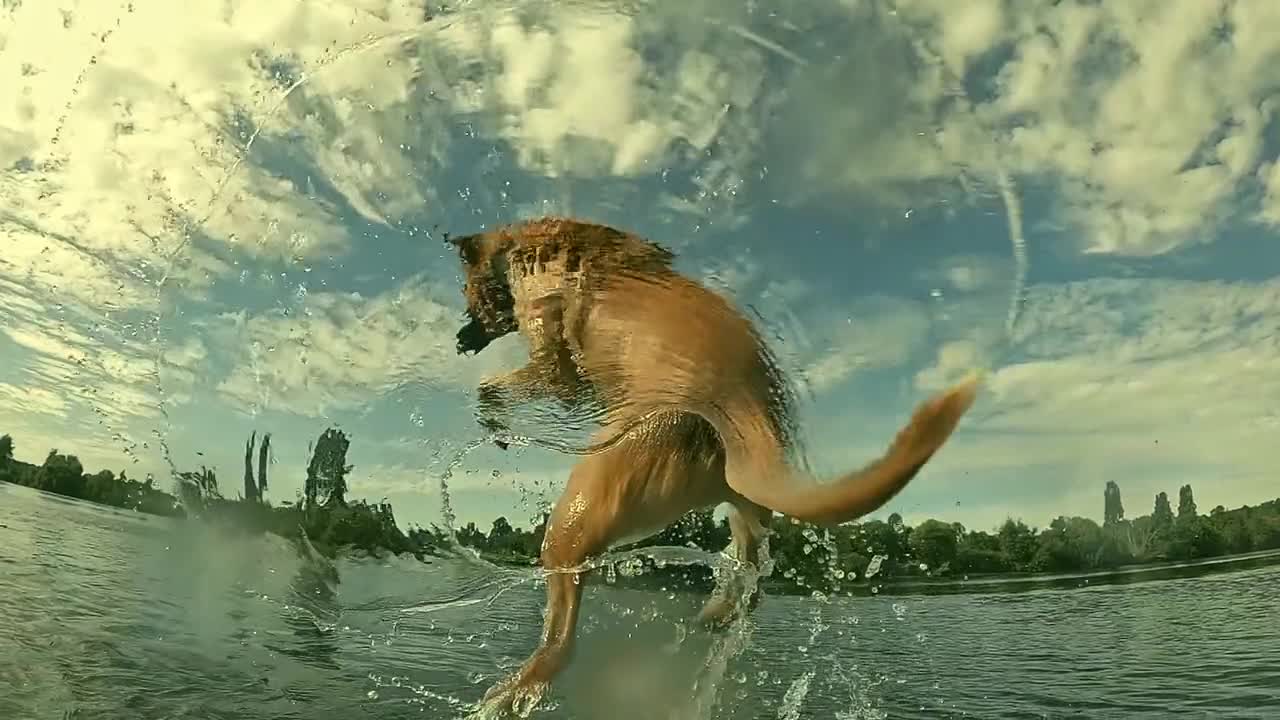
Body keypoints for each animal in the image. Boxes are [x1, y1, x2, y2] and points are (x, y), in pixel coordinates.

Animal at [445, 213, 972, 712]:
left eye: (466, 293)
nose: (460, 338)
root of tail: (746, 422)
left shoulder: (557, 360)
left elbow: (502, 385)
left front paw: (493, 415)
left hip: (581, 511)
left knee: (562, 635)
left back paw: (512, 691)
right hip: (741, 505)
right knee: (753, 574)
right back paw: (717, 613)